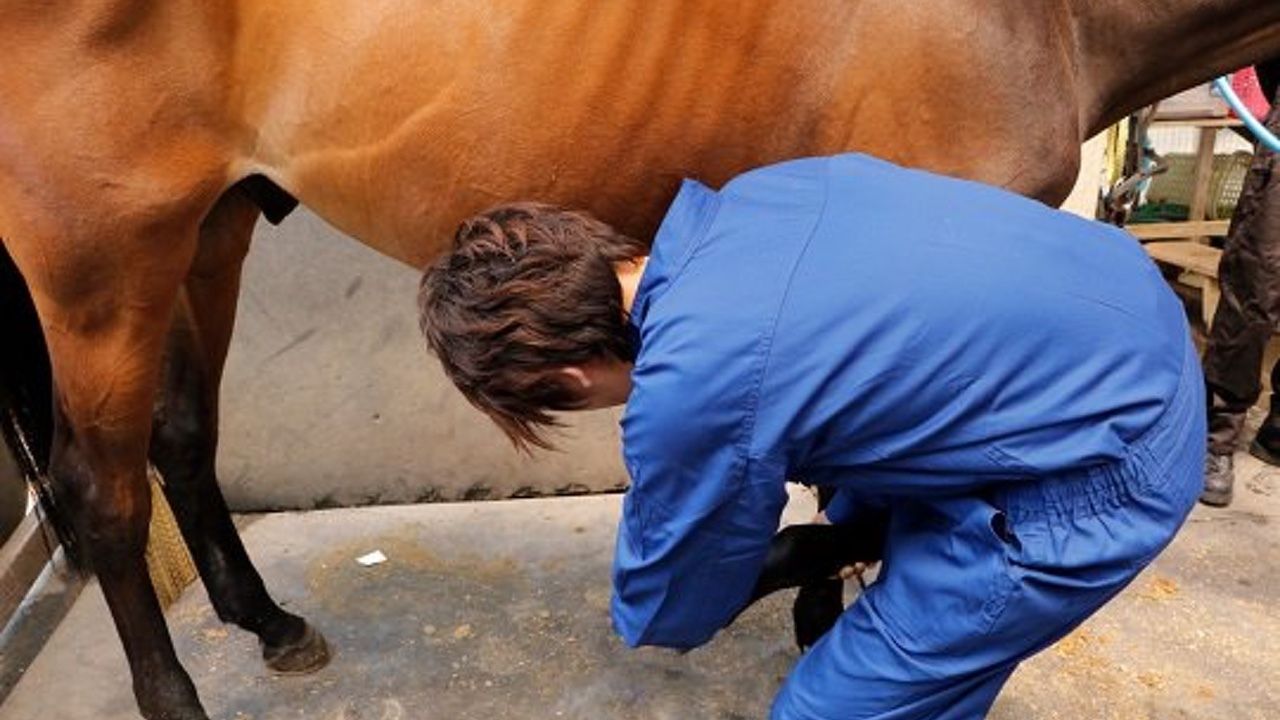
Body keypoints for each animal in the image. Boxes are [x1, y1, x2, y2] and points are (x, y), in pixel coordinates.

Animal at [2, 1, 1280, 717]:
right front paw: (817, 601)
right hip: (101, 259)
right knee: (98, 495)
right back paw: (174, 699)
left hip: (206, 229)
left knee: (181, 438)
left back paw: (268, 625)